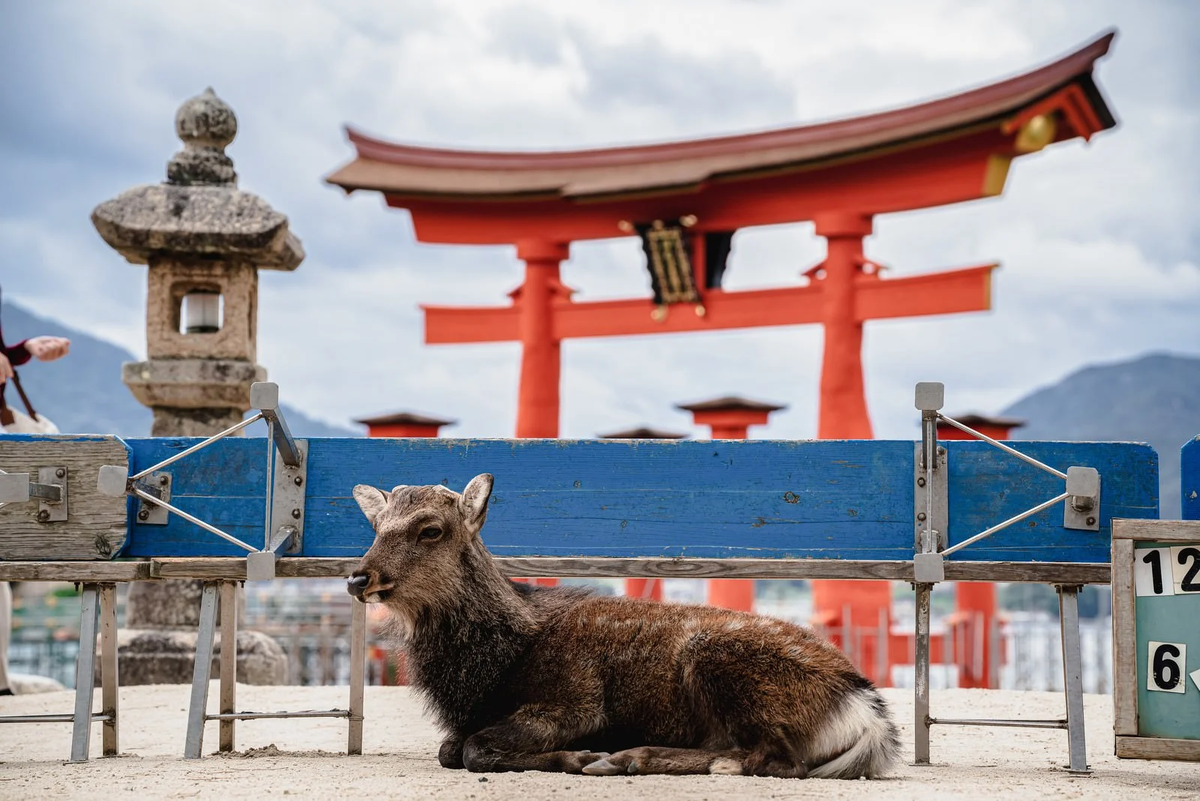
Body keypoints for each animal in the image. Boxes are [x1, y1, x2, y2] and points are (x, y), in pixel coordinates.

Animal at [348, 472, 902, 777]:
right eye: (375, 526)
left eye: (431, 529)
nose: (358, 576)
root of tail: (865, 708)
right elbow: (449, 748)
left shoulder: (575, 700)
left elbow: (472, 749)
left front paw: (576, 757)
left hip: (722, 664)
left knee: (777, 760)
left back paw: (631, 758)